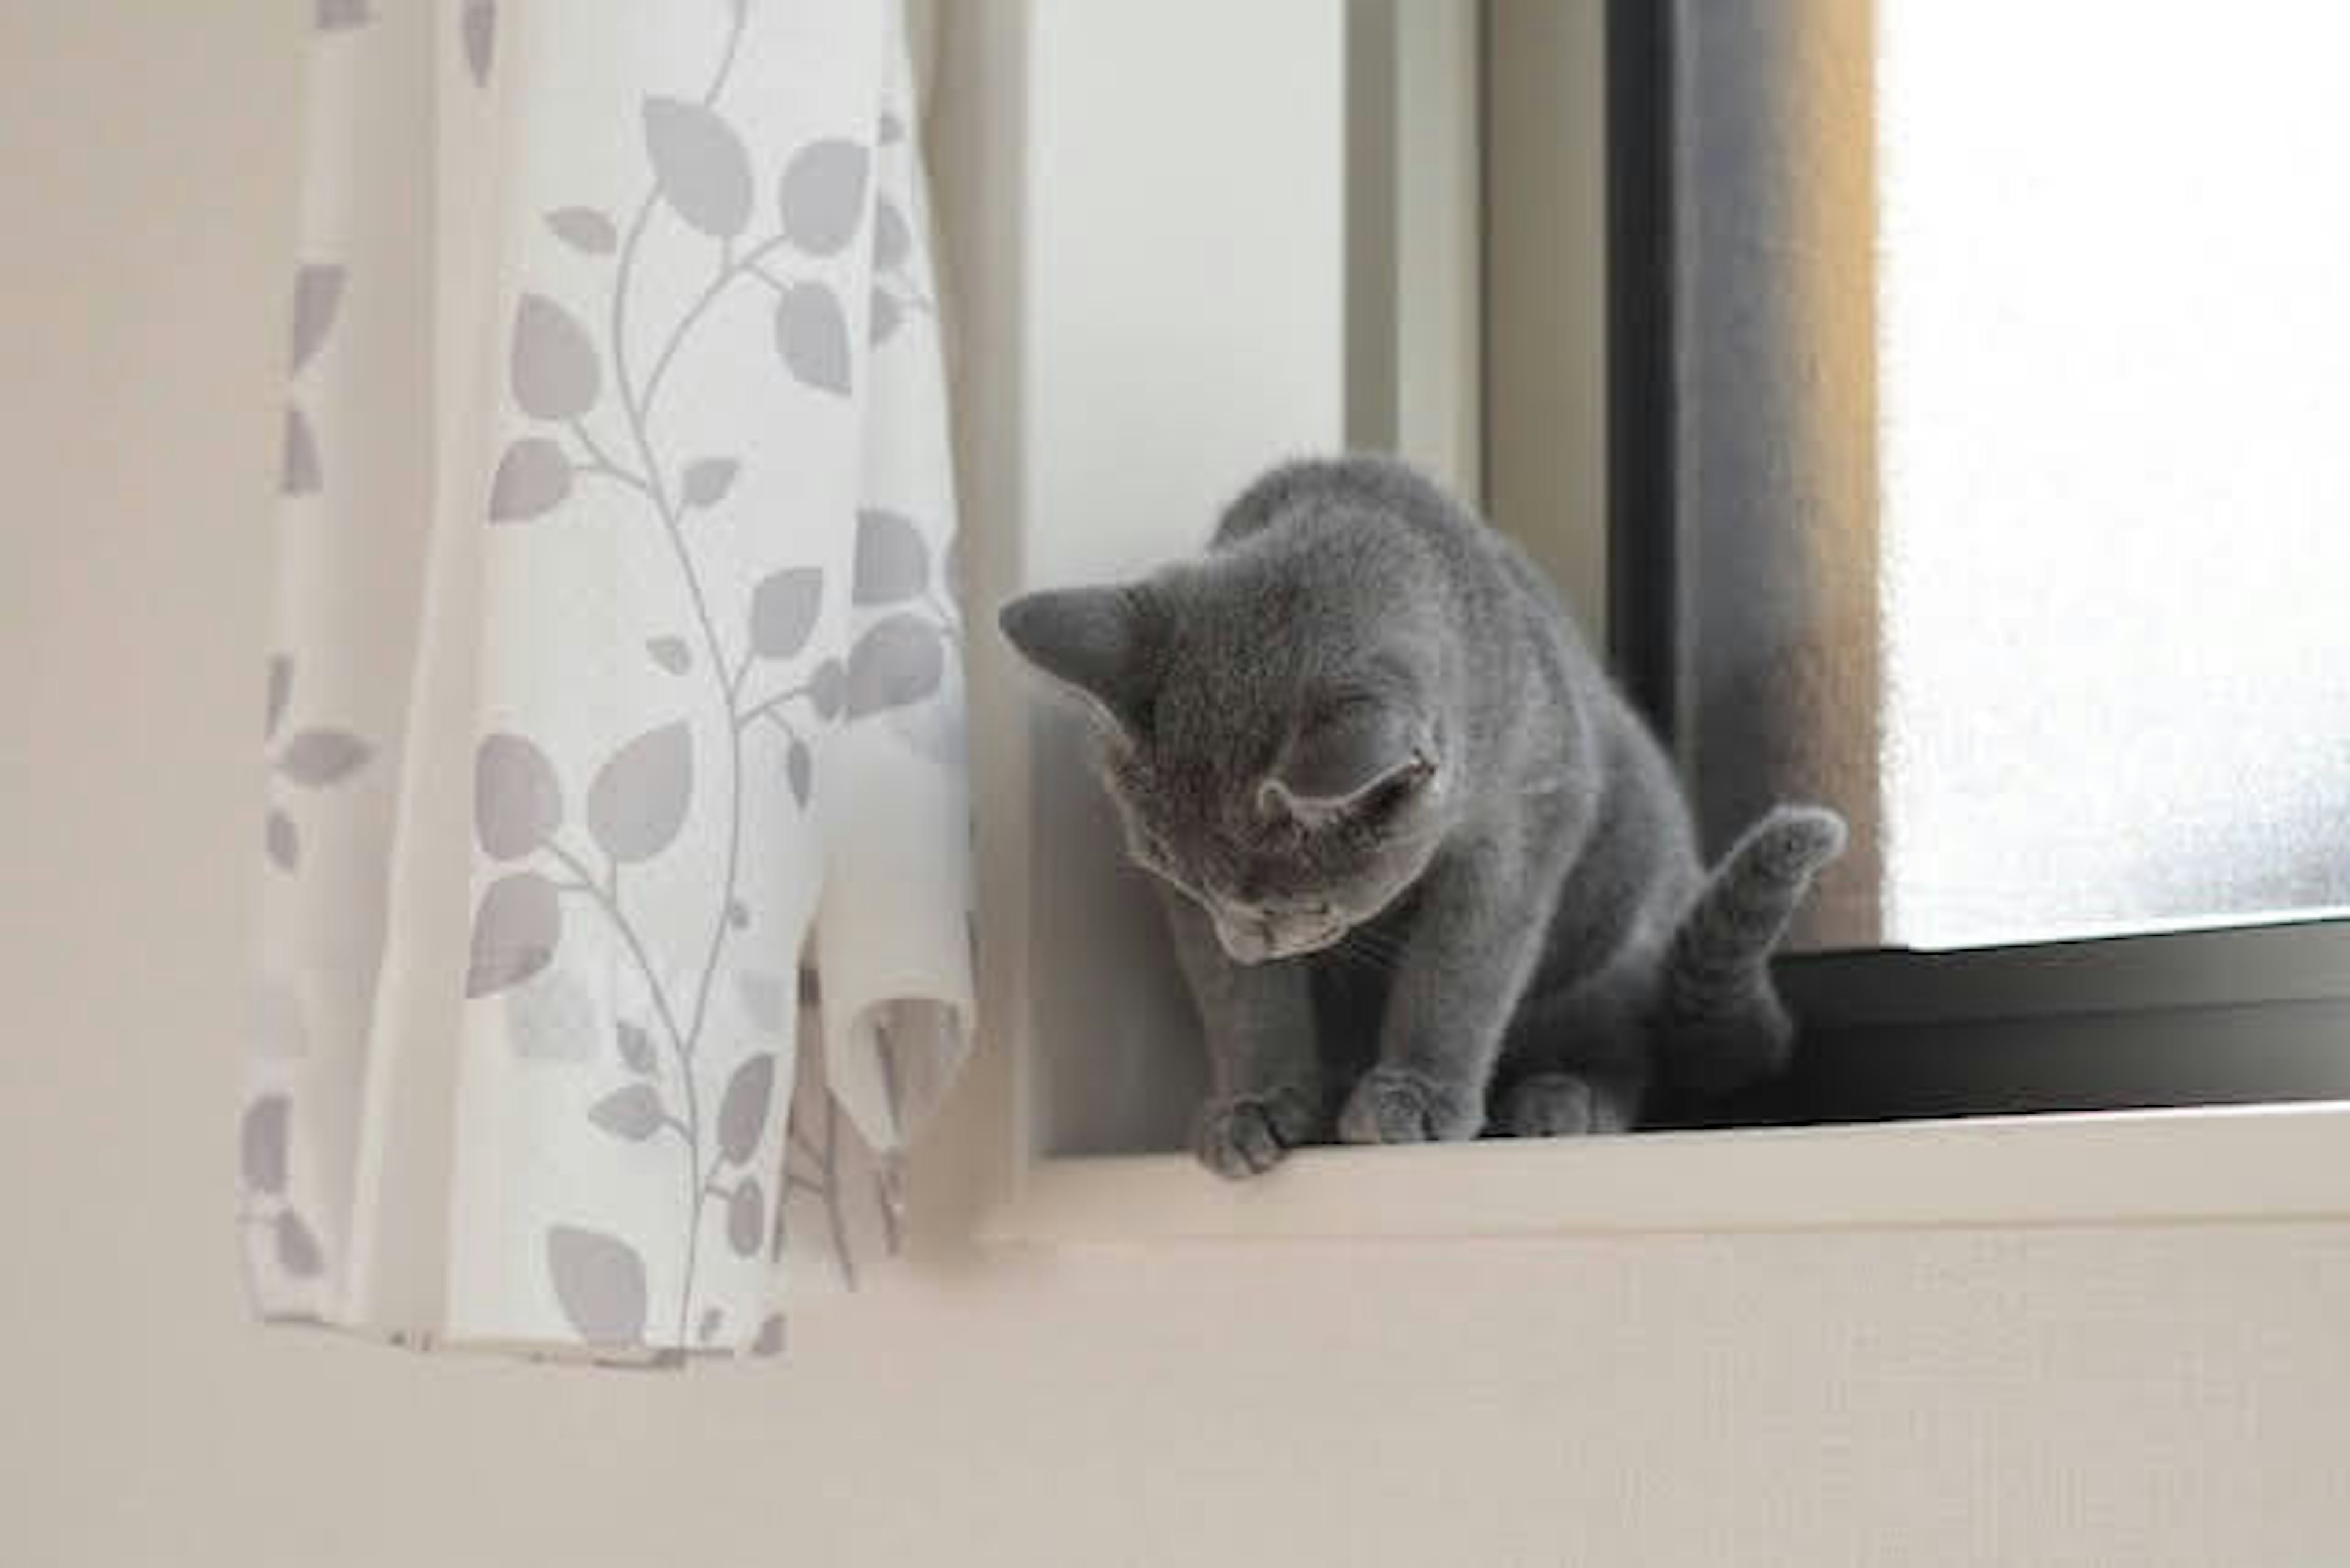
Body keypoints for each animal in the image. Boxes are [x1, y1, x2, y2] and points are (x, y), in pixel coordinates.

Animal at [1001, 454, 1842, 1175]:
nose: (1244, 941)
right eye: (1176, 876)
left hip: (1618, 915)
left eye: (1302, 904)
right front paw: (1255, 1103)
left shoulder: (1523, 820)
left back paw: (1564, 1097)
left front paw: (1418, 1096)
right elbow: (1236, 999)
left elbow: (1462, 964)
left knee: (1621, 1036)